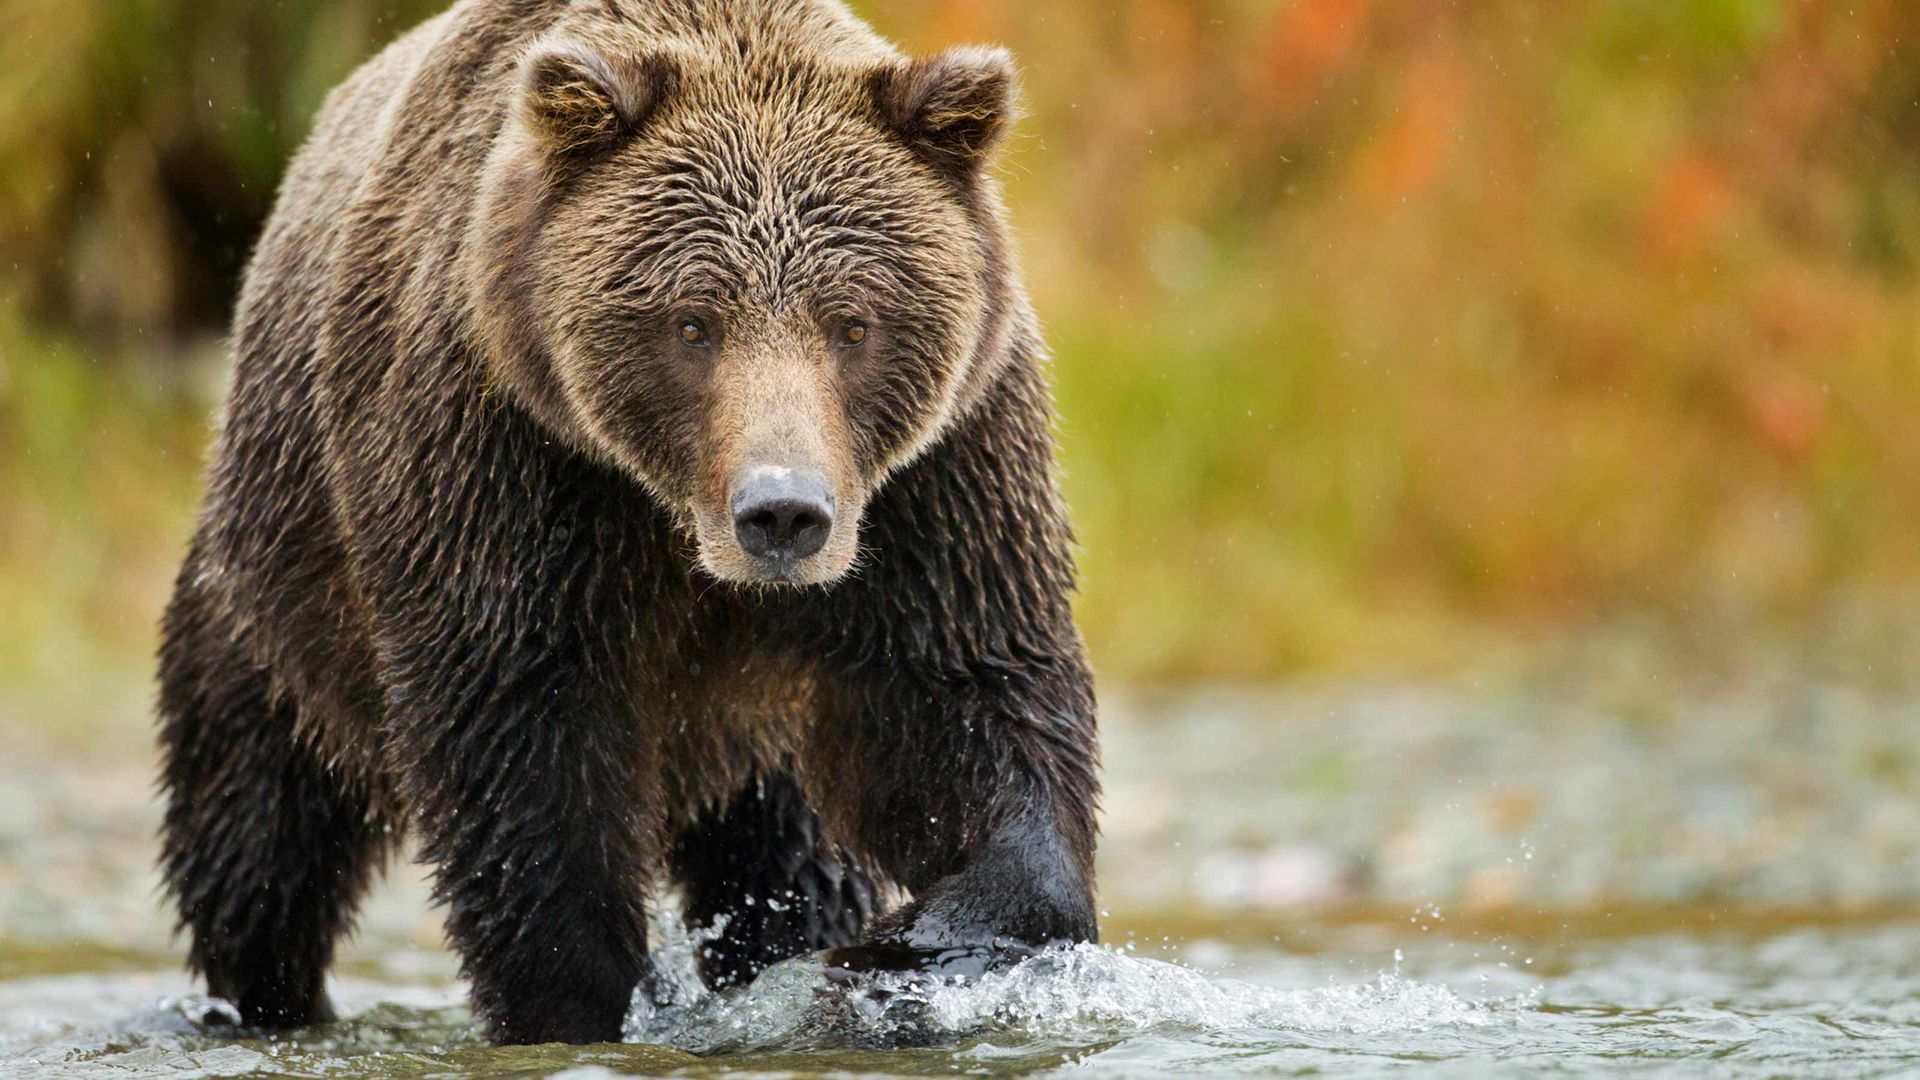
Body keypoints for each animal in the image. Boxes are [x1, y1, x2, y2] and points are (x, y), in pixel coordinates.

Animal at [153, 0, 1098, 1045]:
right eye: (693, 323)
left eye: (853, 324)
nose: (782, 512)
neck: (679, 529)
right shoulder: (503, 462)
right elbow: (523, 751)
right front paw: (584, 998)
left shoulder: (937, 481)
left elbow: (967, 698)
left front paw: (915, 942)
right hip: (276, 591)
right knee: (259, 832)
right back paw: (266, 996)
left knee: (789, 858)